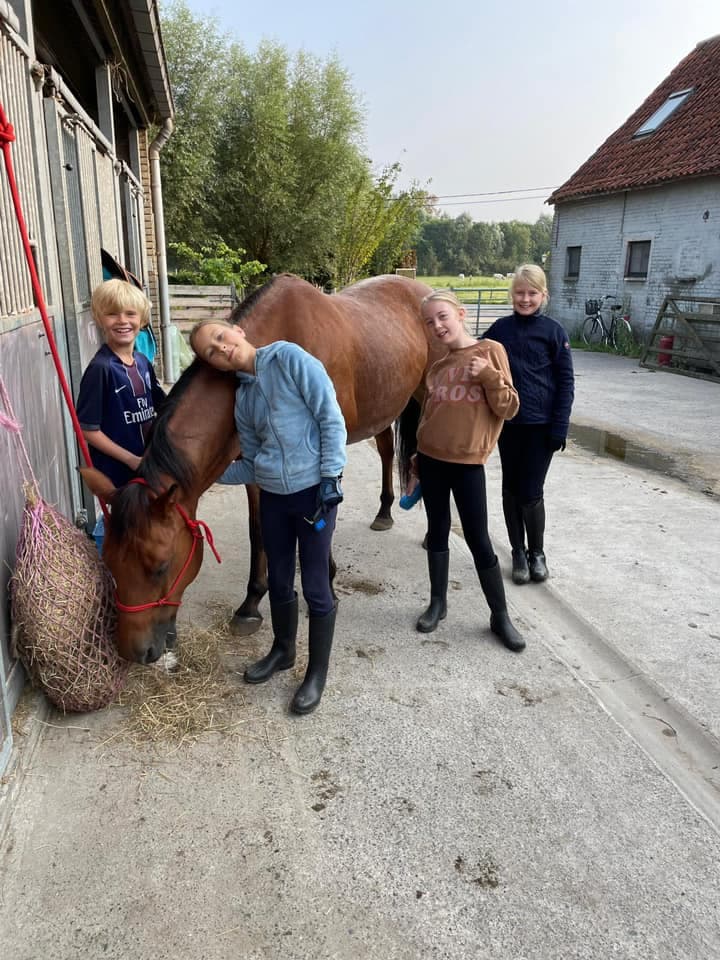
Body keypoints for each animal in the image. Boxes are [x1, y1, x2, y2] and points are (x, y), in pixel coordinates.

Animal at [81, 273, 438, 663]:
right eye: (109, 560)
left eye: (159, 566)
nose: (135, 652)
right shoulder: (255, 467)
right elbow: (260, 532)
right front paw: (251, 603)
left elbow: (319, 519)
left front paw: (326, 581)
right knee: (388, 451)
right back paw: (385, 511)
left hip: (427, 396)